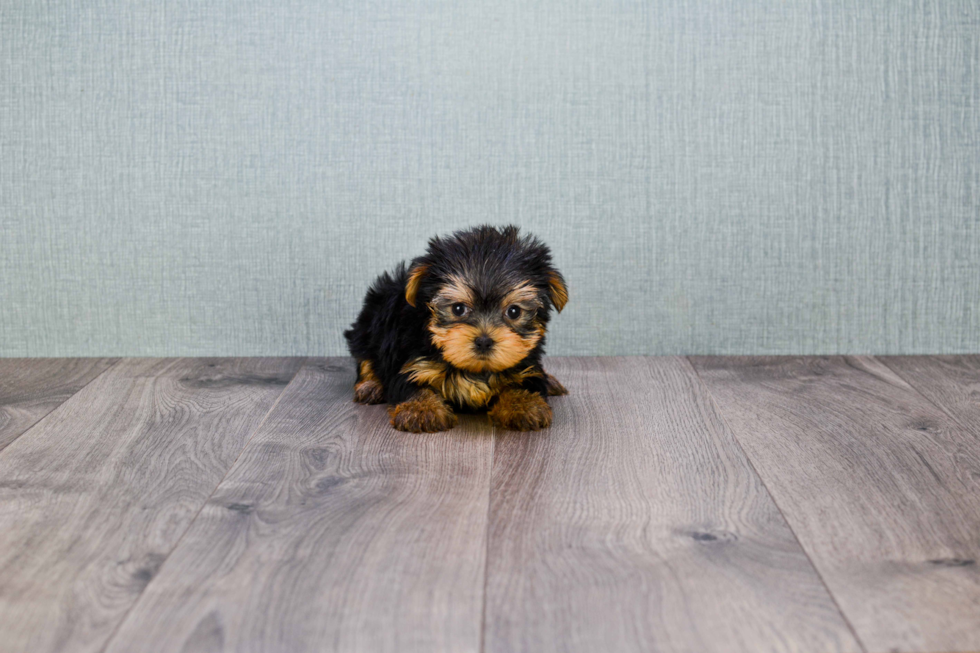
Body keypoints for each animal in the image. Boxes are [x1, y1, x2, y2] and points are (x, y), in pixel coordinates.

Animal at [342, 224, 568, 432]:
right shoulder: (410, 361)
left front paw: (523, 404)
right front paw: (421, 410)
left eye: (514, 312)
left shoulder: (526, 365)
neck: (475, 370)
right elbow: (410, 383)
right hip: (369, 325)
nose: (484, 341)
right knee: (365, 357)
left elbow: (527, 381)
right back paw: (371, 386)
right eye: (458, 308)